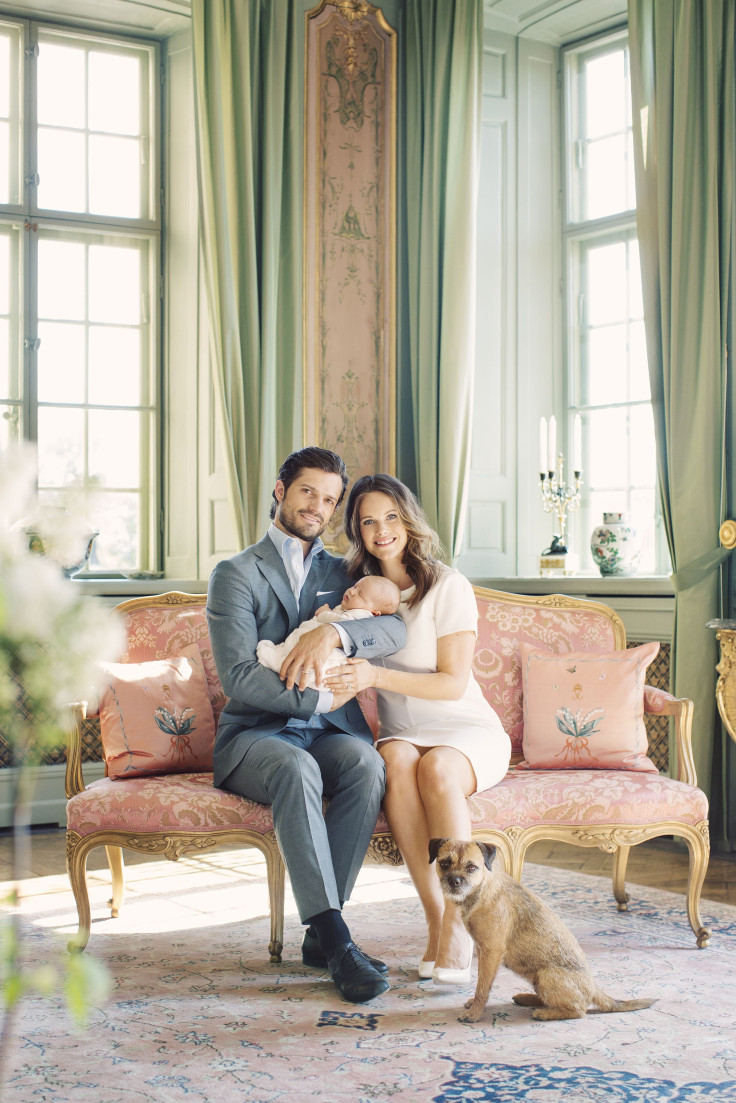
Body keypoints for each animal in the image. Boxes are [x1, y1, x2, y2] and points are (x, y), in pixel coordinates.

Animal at [425, 833, 657, 1023]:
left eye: (471, 867)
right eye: (444, 863)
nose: (454, 881)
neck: (482, 889)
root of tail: (593, 988)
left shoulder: (491, 952)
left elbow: (483, 987)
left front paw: (474, 1014)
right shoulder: (482, 950)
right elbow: (482, 983)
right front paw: (473, 1004)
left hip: (546, 976)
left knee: (578, 1011)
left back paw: (544, 1013)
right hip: (538, 978)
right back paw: (527, 999)